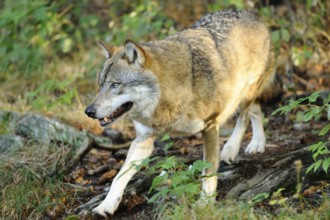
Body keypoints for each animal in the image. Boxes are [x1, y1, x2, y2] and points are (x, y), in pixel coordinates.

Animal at [85, 9, 282, 217]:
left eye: (115, 85)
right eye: (101, 85)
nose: (88, 112)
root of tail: (251, 13)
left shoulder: (210, 127)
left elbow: (208, 173)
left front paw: (205, 204)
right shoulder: (144, 140)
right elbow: (118, 177)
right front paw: (106, 206)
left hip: (244, 94)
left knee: (244, 117)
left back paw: (232, 148)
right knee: (256, 110)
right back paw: (257, 143)